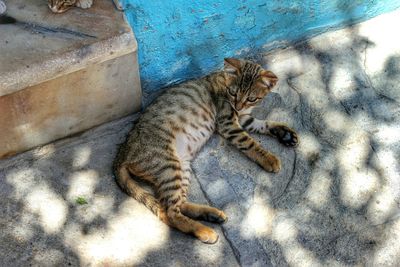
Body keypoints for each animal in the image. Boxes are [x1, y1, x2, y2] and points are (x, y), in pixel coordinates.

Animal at [114, 59, 298, 245]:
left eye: (251, 98)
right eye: (233, 93)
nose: (238, 105)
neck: (223, 81)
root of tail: (122, 152)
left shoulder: (243, 118)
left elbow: (262, 123)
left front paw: (284, 133)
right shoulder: (228, 123)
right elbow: (250, 143)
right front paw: (269, 159)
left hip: (182, 166)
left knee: (178, 204)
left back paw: (211, 214)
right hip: (168, 166)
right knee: (168, 212)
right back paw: (204, 230)